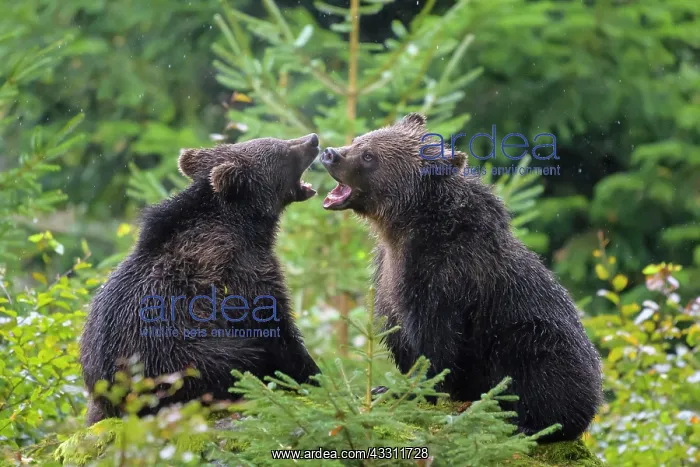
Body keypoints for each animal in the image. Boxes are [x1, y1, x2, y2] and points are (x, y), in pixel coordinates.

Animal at [80, 133, 322, 425]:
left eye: (277, 140)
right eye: (282, 150)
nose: (313, 140)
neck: (247, 227)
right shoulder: (240, 271)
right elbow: (275, 327)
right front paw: (313, 376)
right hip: (178, 358)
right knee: (241, 359)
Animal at [319, 114, 602, 442]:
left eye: (368, 155)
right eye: (359, 140)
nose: (330, 153)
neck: (402, 229)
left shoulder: (444, 278)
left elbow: (435, 343)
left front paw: (409, 391)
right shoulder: (386, 274)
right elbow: (398, 333)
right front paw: (384, 386)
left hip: (541, 339)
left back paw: (531, 424)